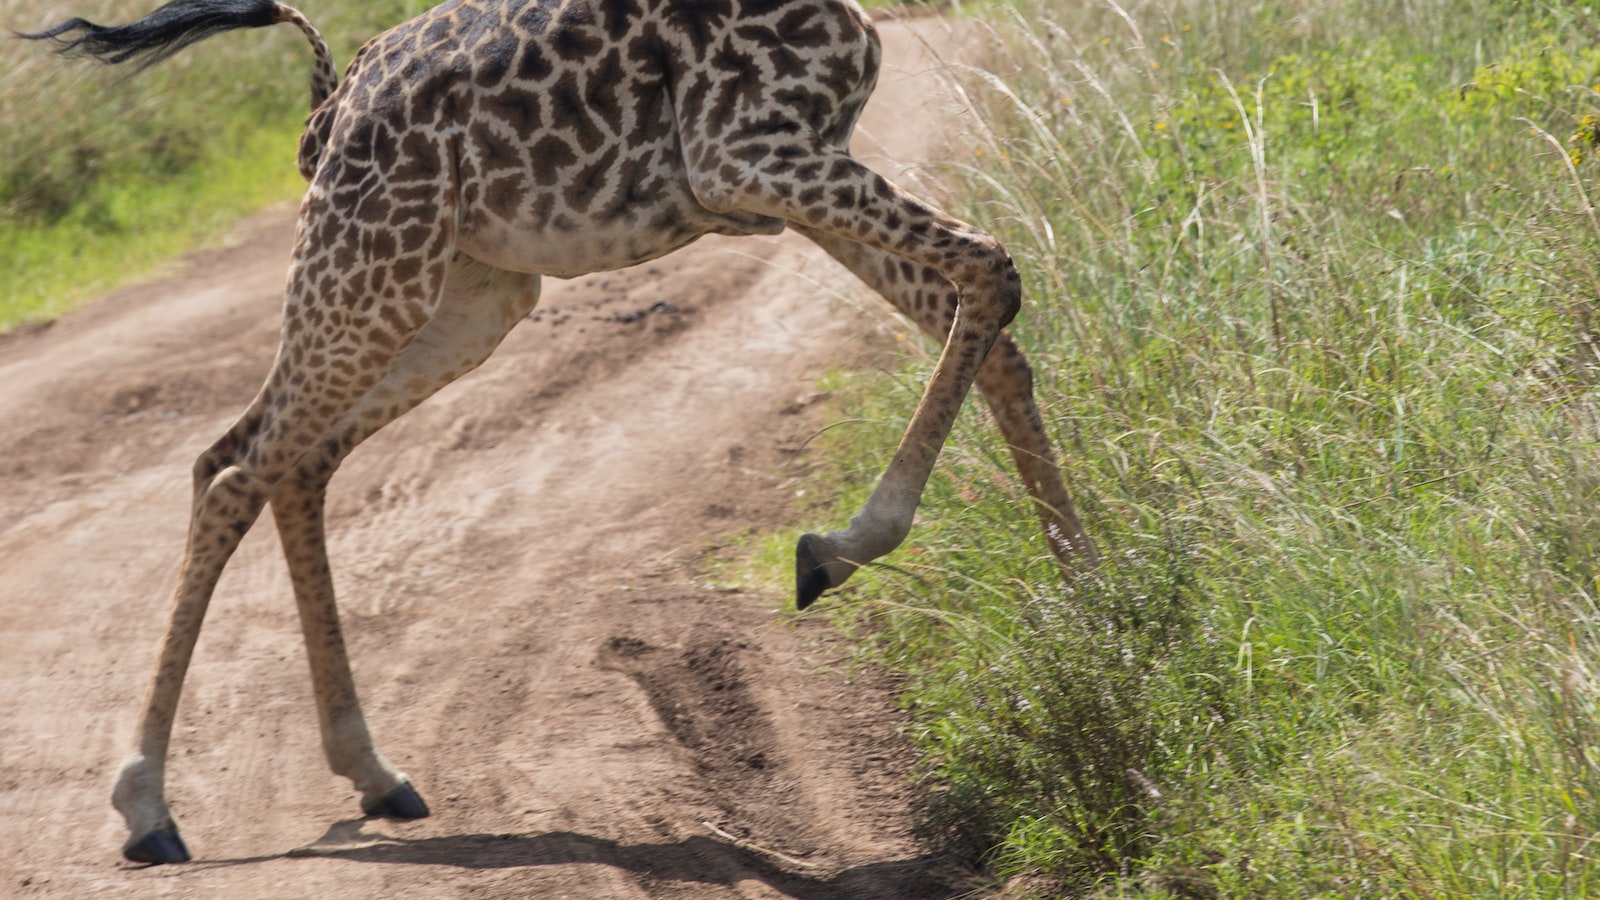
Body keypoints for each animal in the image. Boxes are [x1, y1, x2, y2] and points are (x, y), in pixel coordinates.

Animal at [28, 0, 1100, 864]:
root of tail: (330, 107)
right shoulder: (747, 154)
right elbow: (996, 267)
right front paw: (837, 552)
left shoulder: (788, 170)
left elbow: (993, 324)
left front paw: (1101, 619)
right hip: (373, 263)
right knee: (236, 470)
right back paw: (147, 808)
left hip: (470, 291)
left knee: (281, 460)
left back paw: (373, 772)